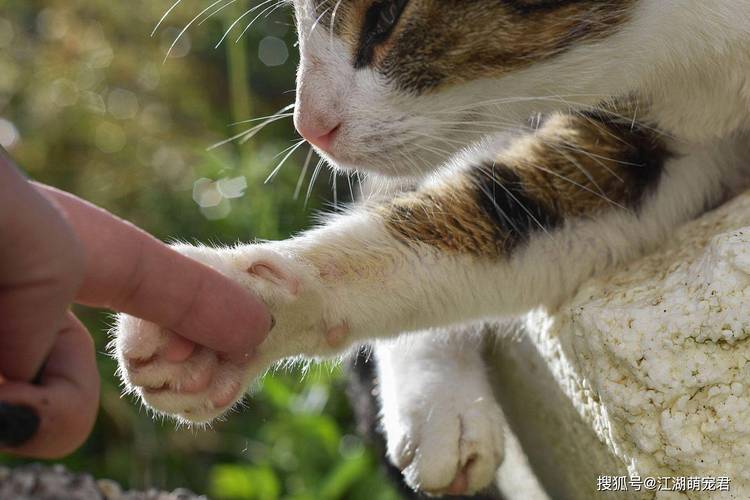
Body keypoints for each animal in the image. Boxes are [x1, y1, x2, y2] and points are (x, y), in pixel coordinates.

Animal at [114, 0, 750, 496]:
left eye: (386, 16)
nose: (309, 125)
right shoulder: (639, 139)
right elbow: (491, 212)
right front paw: (224, 306)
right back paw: (440, 409)